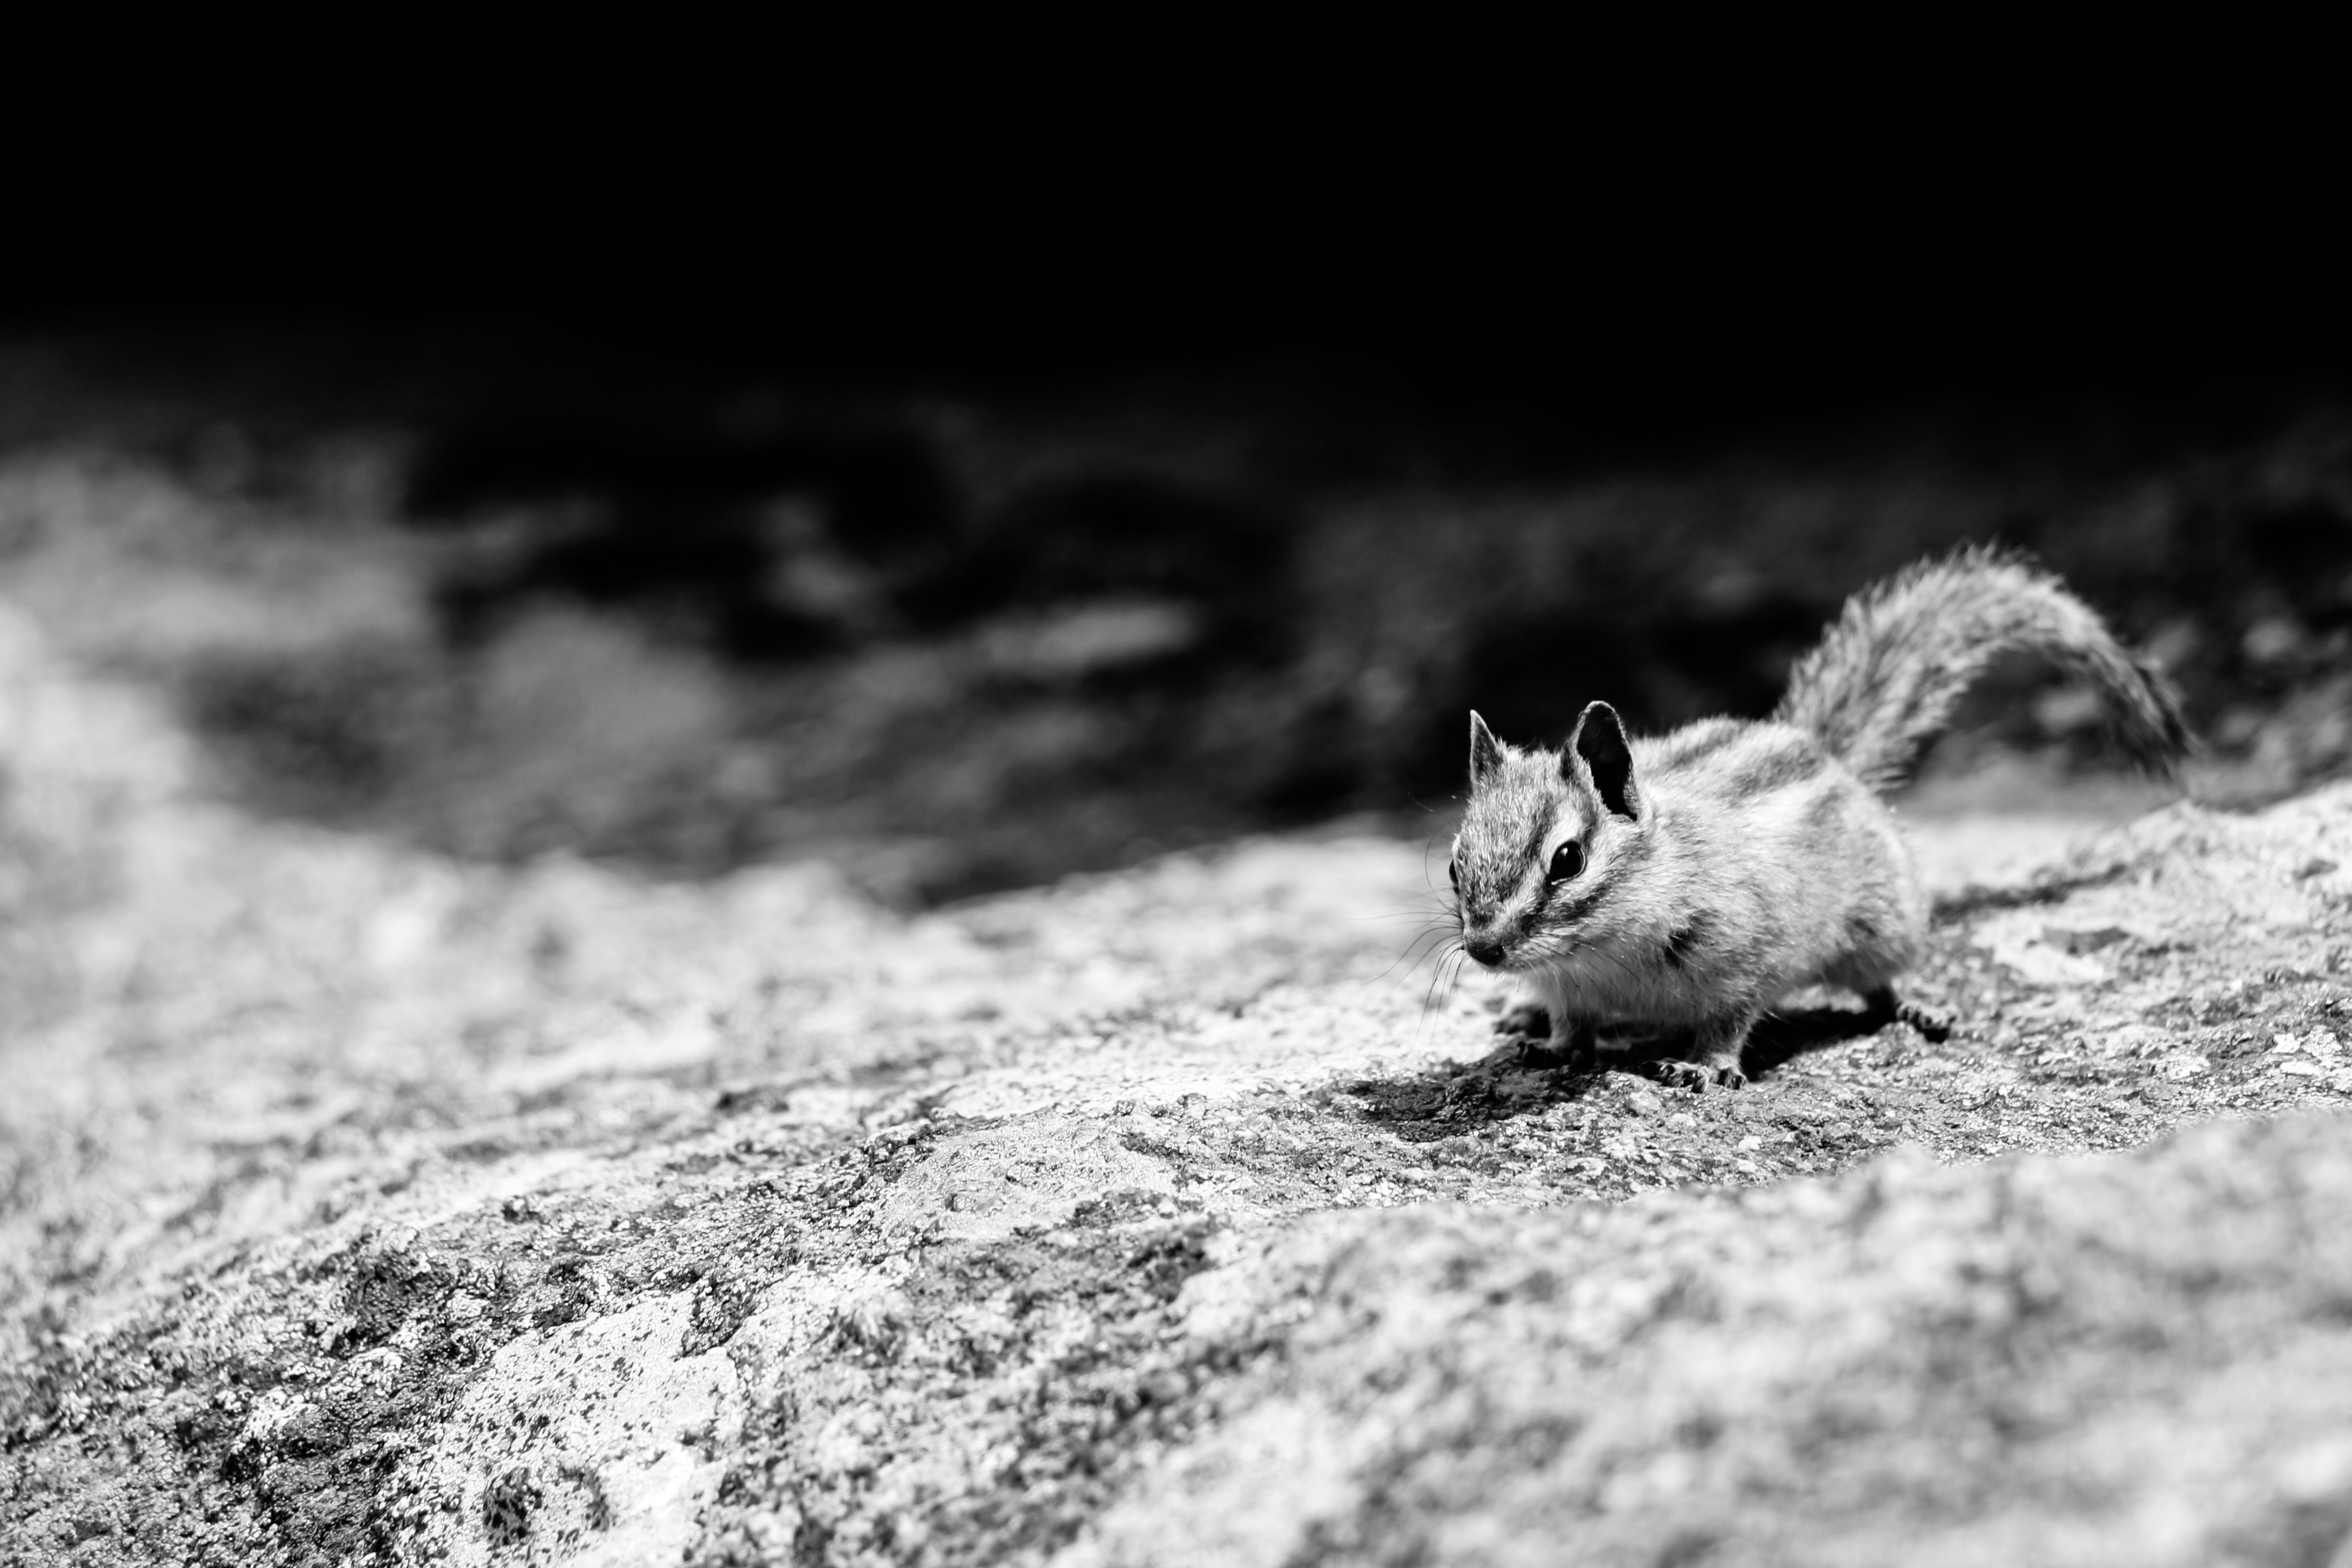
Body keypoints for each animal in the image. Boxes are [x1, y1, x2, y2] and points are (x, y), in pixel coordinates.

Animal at [1447, 547, 2192, 1091]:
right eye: (1455, 865)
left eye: (1568, 860)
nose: (1483, 951)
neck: (1599, 950)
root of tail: (1821, 749)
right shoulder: (1567, 986)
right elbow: (1573, 1025)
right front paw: (1551, 1043)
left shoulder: (1745, 954)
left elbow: (1728, 1021)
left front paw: (1702, 1068)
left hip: (1883, 921)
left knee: (1885, 975)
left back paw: (1915, 1005)